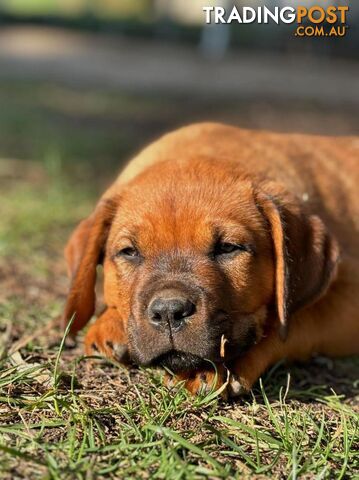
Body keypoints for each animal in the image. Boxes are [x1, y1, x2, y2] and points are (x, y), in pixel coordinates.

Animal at [62, 122, 359, 396]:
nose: (169, 312)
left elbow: (287, 322)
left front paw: (211, 368)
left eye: (228, 248)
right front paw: (108, 326)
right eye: (129, 252)